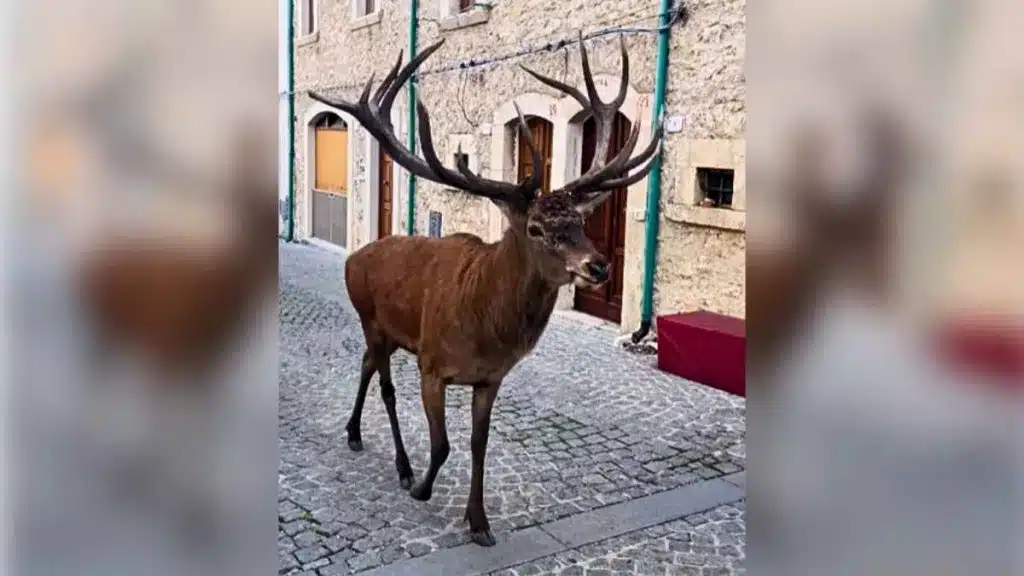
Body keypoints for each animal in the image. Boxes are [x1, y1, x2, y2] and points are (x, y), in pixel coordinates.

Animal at [309, 33, 663, 545]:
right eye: (536, 228)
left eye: (579, 222)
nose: (598, 266)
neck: (483, 327)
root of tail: (354, 256)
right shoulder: (432, 365)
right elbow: (441, 445)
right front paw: (422, 488)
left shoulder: (491, 379)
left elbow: (479, 444)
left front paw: (478, 522)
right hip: (369, 318)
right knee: (385, 386)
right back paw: (400, 465)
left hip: (388, 334)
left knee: (365, 367)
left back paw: (355, 432)